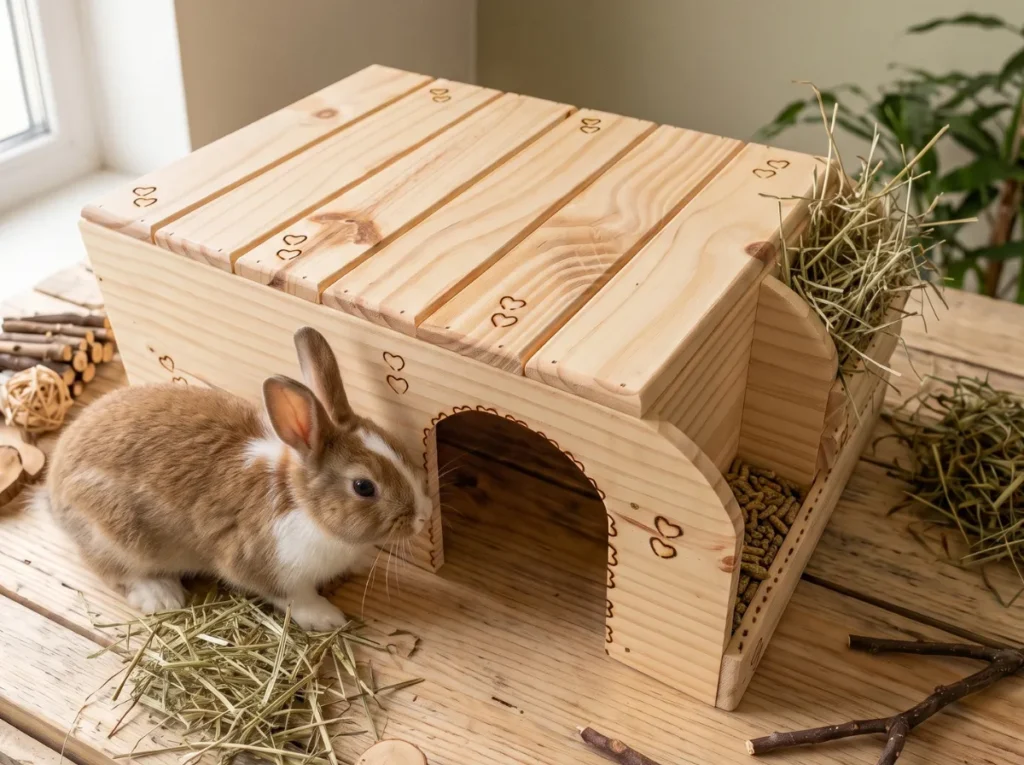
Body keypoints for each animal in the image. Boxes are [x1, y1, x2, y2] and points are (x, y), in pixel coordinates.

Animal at [38, 326, 432, 630]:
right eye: (363, 487)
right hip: (112, 534)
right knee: (114, 571)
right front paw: (327, 618)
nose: (423, 517)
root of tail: (53, 494)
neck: (303, 505)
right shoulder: (262, 565)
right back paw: (162, 596)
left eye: (395, 445)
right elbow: (293, 597)